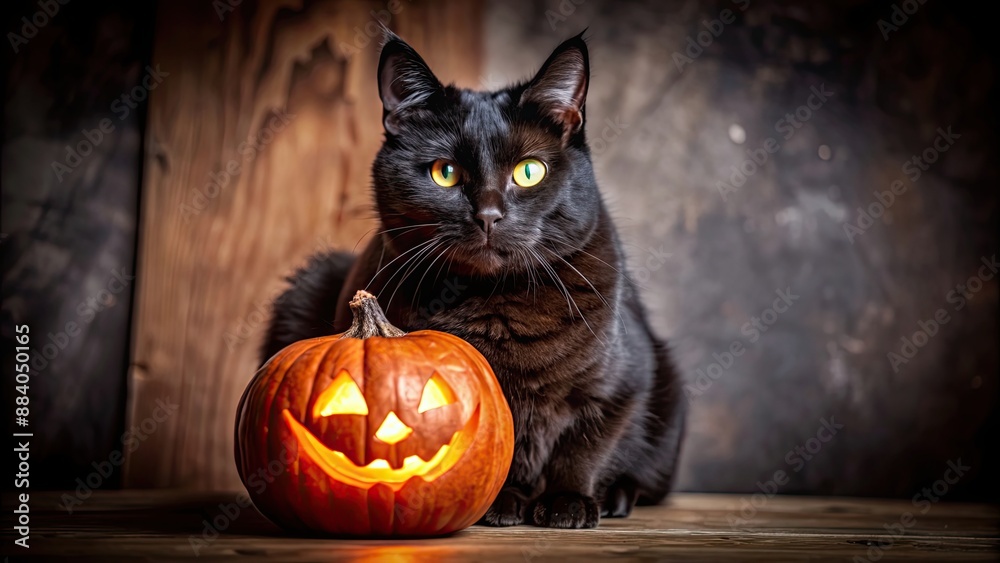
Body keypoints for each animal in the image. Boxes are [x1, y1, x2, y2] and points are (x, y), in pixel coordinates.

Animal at [262, 32, 688, 528]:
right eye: (444, 173)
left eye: (529, 171)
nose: (487, 214)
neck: (495, 303)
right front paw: (502, 501)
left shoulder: (619, 387)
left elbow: (585, 448)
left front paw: (568, 502)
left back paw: (617, 497)